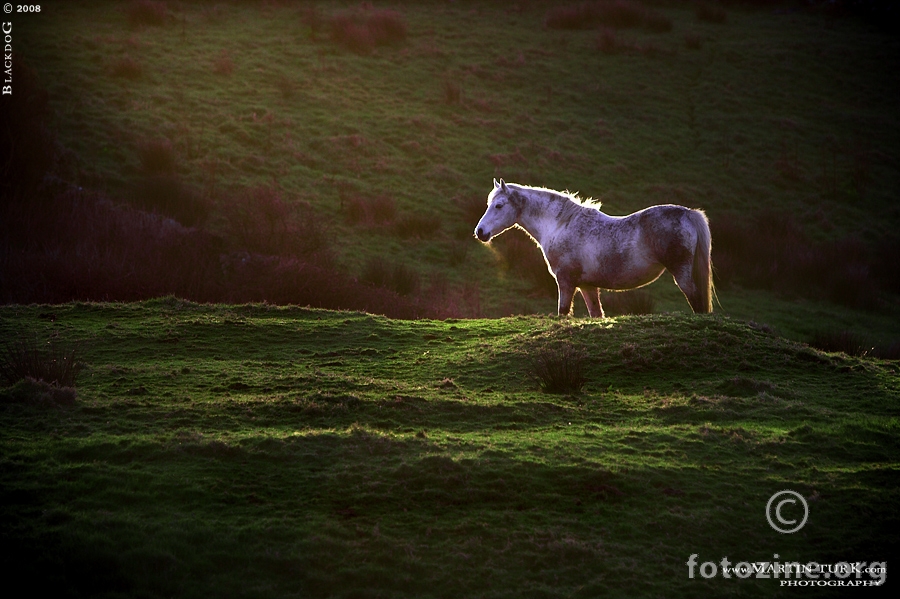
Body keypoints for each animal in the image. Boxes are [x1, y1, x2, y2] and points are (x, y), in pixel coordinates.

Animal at [474, 179, 712, 316]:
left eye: (499, 205)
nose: (480, 232)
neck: (560, 225)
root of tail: (688, 213)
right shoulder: (587, 287)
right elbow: (596, 314)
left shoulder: (566, 282)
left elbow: (562, 313)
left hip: (681, 273)